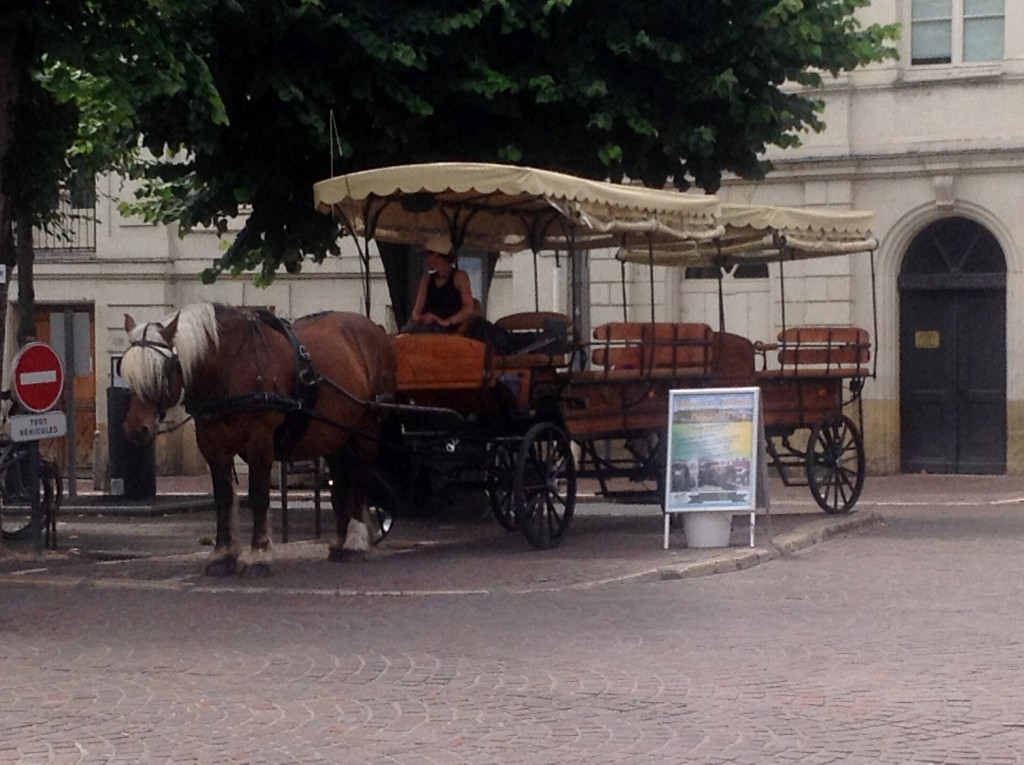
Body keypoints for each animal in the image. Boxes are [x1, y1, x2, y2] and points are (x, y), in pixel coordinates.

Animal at [117, 303, 393, 577]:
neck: (230, 365)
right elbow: (223, 498)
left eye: (161, 372)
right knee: (341, 483)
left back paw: (355, 543)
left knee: (359, 480)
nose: (136, 429)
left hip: (365, 430)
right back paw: (339, 542)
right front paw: (223, 555)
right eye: (125, 371)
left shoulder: (259, 441)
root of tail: (375, 329)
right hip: (335, 434)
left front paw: (258, 556)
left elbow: (258, 495)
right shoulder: (212, 445)